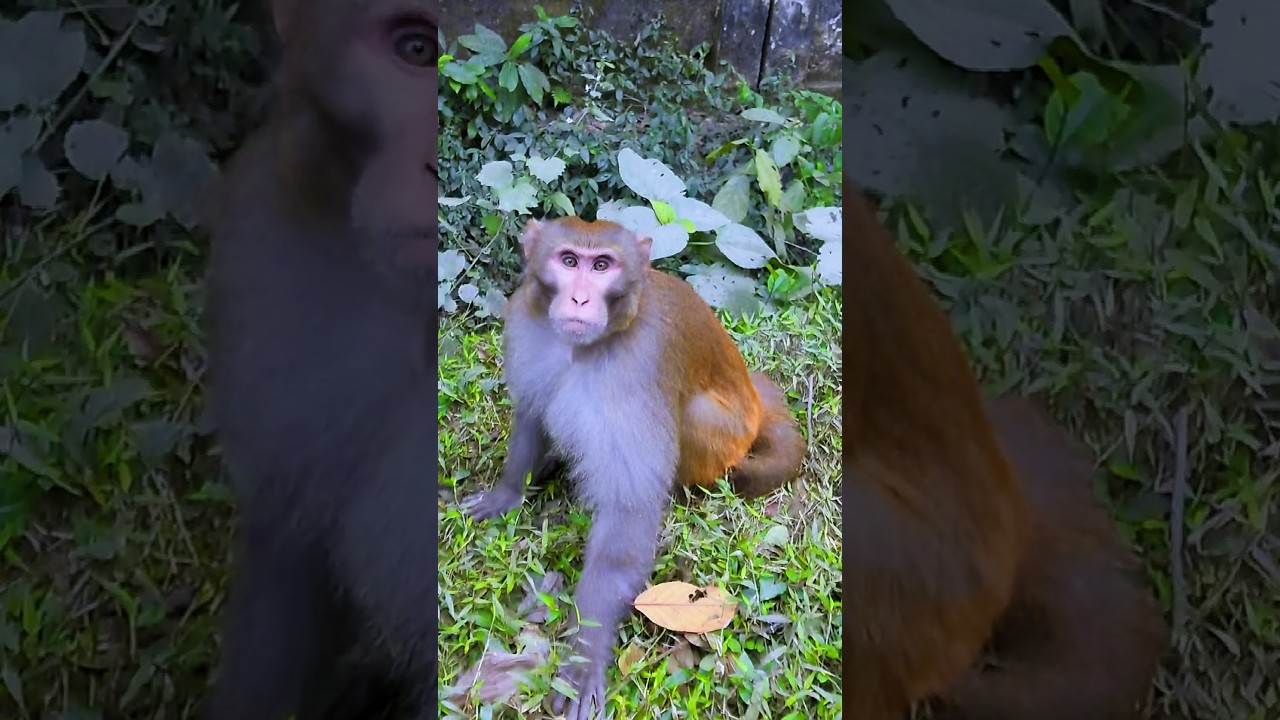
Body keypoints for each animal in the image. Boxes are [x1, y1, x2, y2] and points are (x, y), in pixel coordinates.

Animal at [461, 217, 807, 720]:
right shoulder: (526, 326)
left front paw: (584, 658)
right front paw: (509, 492)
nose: (580, 299)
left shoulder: (638, 370)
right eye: (569, 261)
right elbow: (531, 413)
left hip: (722, 439)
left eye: (602, 266)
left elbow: (627, 513)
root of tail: (757, 405)